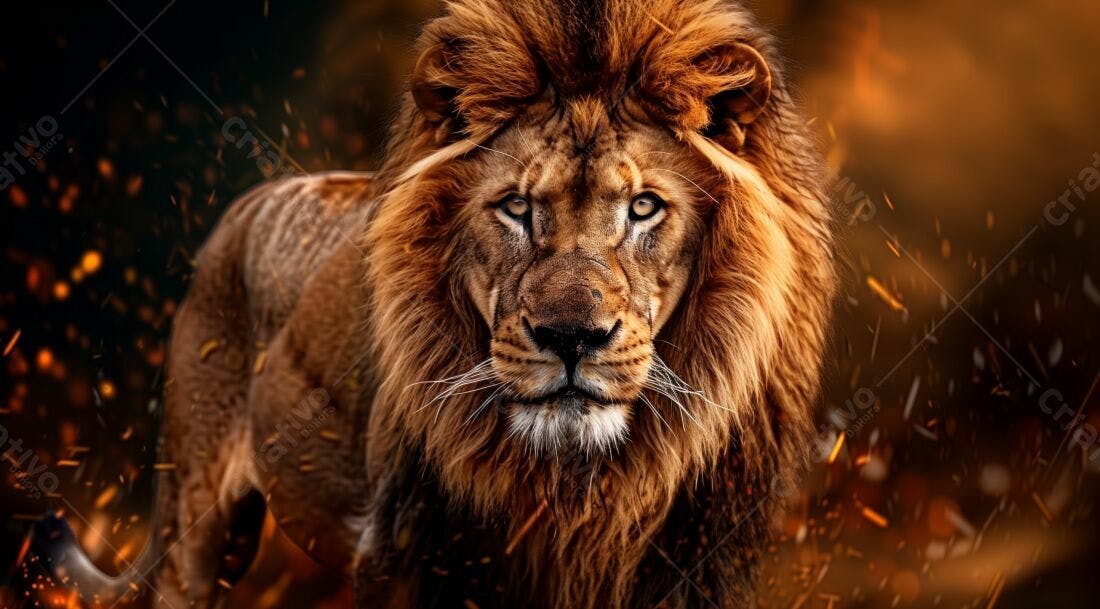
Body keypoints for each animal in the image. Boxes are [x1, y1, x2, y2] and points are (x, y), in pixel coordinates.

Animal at [31, 0, 836, 607]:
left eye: (643, 207)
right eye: (516, 207)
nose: (571, 337)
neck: (576, 486)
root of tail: (246, 207)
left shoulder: (688, 569)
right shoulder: (404, 554)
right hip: (197, 523)